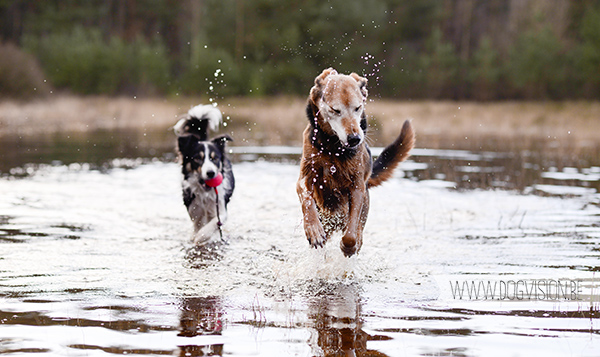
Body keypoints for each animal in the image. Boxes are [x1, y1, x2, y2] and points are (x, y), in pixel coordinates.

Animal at [173, 104, 234, 243]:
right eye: (197, 158)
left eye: (215, 158)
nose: (211, 173)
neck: (205, 193)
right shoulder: (194, 209)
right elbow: (198, 226)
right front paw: (196, 236)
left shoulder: (220, 207)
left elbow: (215, 222)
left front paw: (202, 236)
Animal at [294, 67, 412, 256]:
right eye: (335, 110)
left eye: (358, 107)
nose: (355, 139)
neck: (332, 148)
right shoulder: (306, 176)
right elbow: (306, 198)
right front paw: (313, 230)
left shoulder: (357, 187)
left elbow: (351, 232)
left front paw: (348, 246)